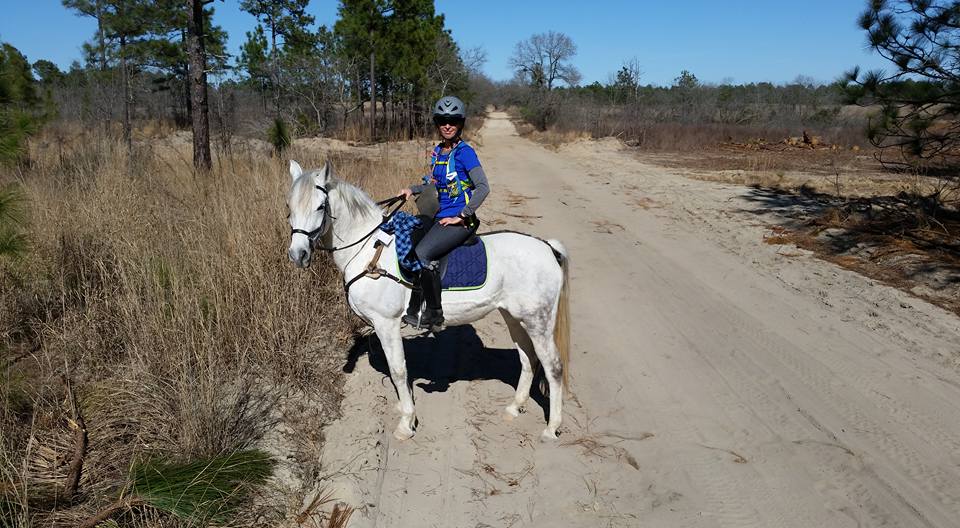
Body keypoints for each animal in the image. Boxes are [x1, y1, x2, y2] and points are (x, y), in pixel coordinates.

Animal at [285, 160, 570, 441]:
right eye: (289, 207)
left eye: (320, 206)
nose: (298, 255)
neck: (368, 249)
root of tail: (548, 247)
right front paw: (403, 407)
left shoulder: (386, 323)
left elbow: (398, 370)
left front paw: (406, 422)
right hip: (514, 317)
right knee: (528, 359)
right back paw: (514, 408)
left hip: (538, 322)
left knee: (553, 367)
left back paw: (551, 428)